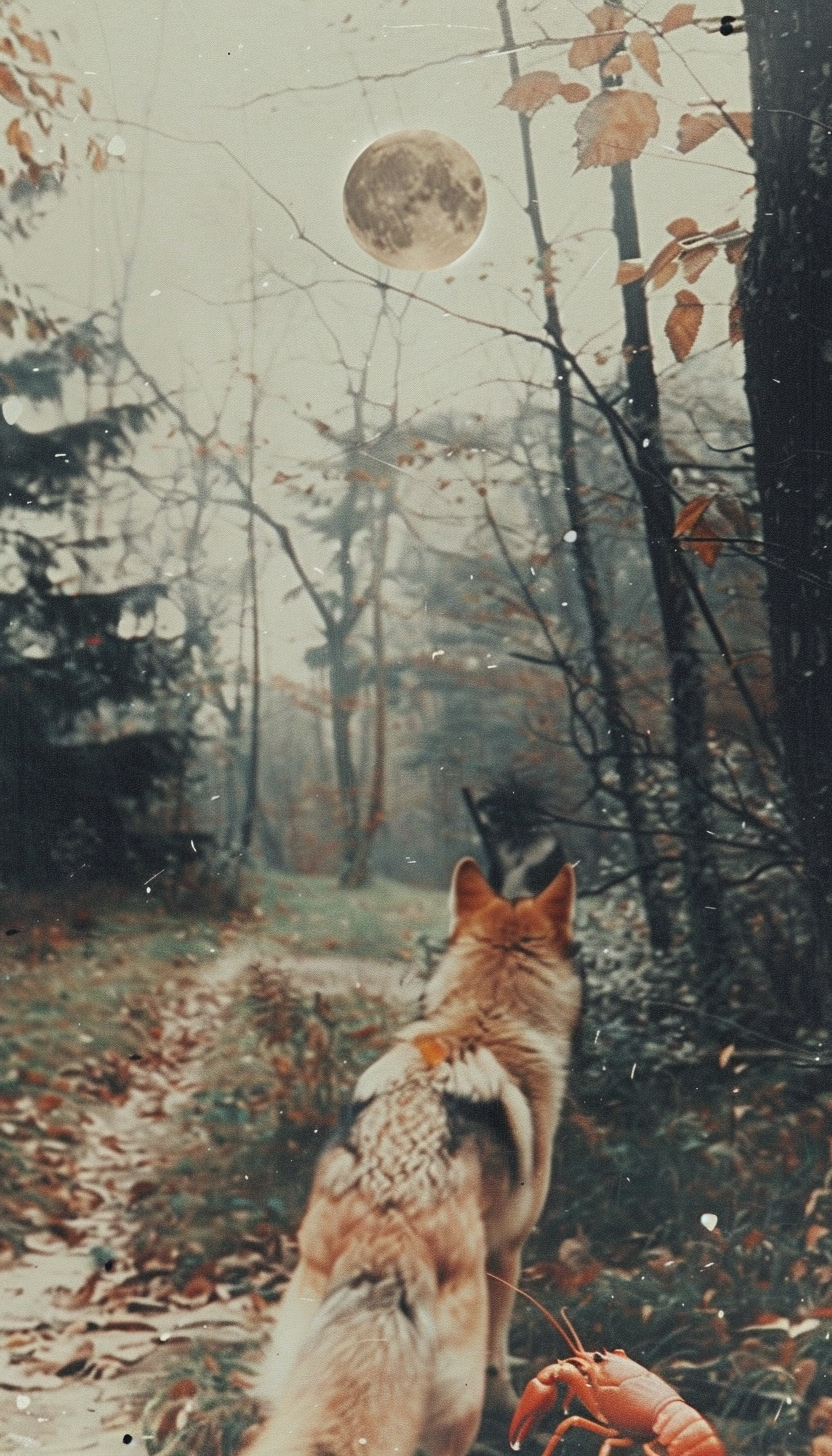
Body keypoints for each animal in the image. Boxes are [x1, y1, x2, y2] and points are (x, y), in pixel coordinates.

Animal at [247, 850, 582, 1456]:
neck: (485, 1018)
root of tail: (386, 1234)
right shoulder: (508, 1254)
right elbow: (502, 1361)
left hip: (287, 1388)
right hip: (456, 1411)